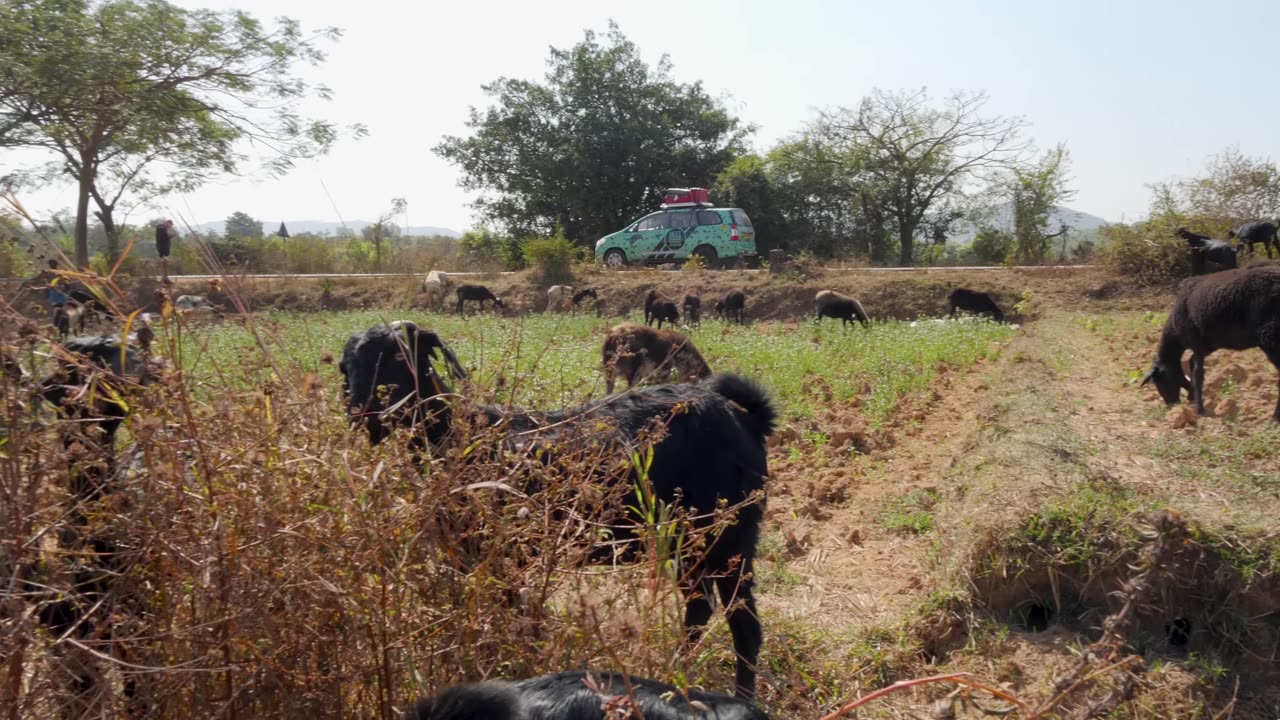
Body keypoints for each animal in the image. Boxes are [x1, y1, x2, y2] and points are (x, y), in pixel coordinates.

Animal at [1141, 266, 1280, 417]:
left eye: (1159, 381)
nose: (1171, 404)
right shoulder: (1207, 347)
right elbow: (1191, 364)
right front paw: (1192, 396)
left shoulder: (1195, 342)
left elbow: (1197, 374)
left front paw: (1199, 409)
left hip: (1271, 338)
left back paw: (1275, 417)